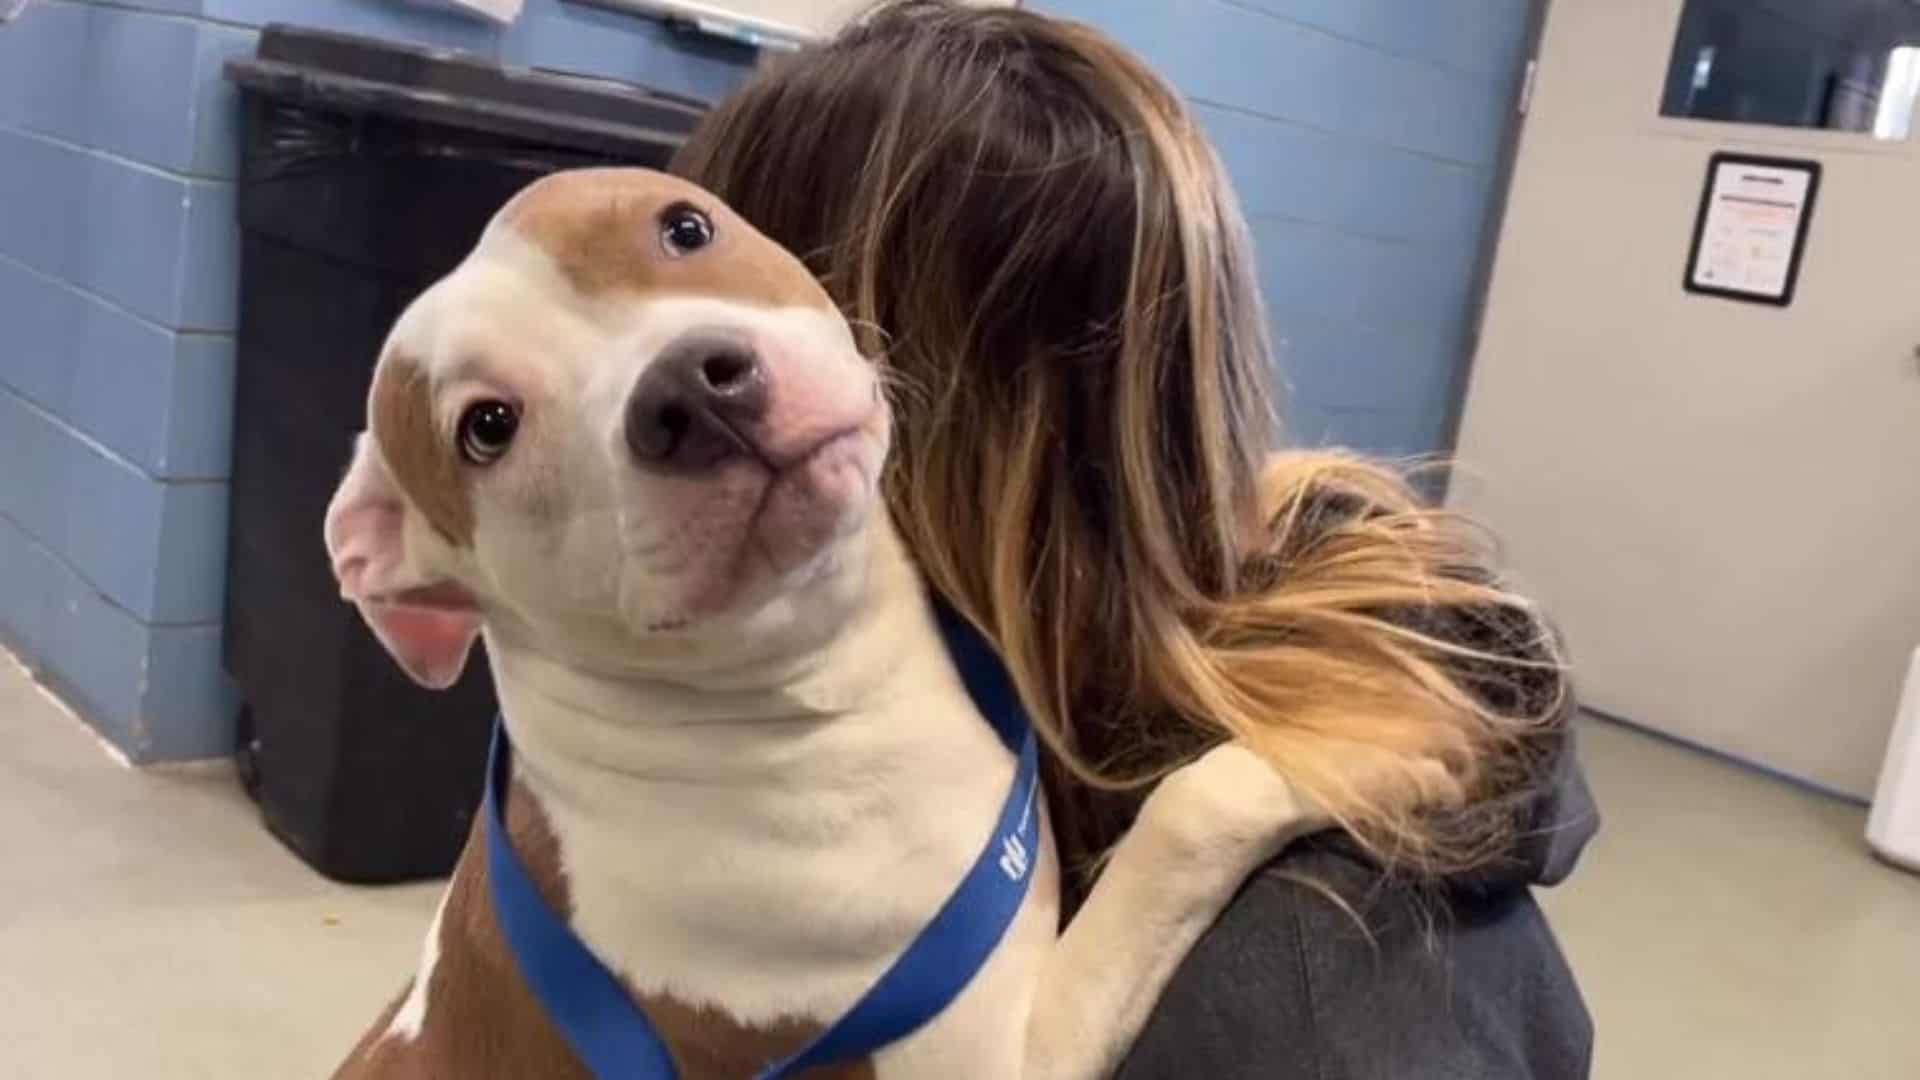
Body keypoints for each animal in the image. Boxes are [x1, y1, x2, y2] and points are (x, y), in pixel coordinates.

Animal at [322, 168, 1336, 1076]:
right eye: (486, 428)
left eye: (685, 228)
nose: (693, 390)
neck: (830, 678)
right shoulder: (1004, 1059)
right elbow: (1193, 810)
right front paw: (1336, 755)